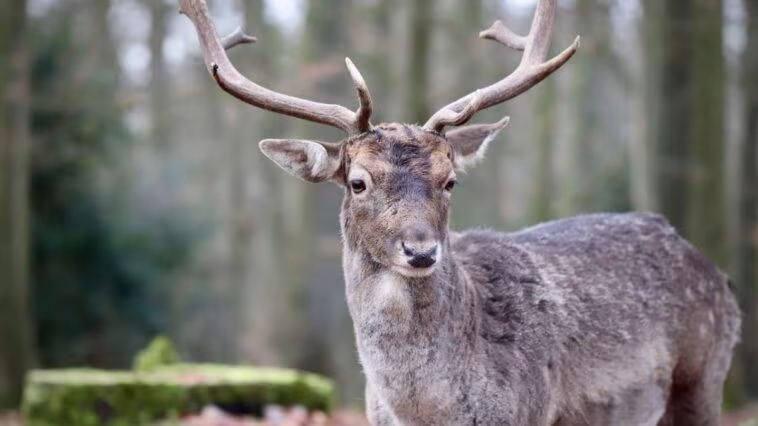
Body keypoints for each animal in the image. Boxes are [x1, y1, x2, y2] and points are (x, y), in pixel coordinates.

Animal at [178, 0, 741, 424]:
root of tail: (718, 274)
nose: (421, 250)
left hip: (703, 376)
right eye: (358, 182)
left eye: (449, 181)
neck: (426, 411)